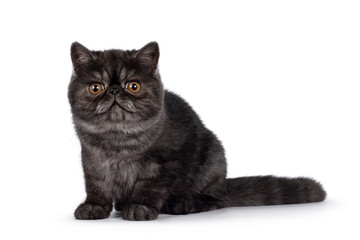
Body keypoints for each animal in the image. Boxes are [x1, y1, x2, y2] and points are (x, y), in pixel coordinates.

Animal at [67, 41, 326, 221]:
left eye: (133, 86)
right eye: (95, 87)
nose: (113, 91)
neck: (117, 139)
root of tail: (223, 184)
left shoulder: (166, 162)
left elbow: (150, 186)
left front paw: (140, 206)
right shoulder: (91, 159)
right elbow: (96, 185)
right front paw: (94, 206)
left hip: (213, 154)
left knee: (214, 199)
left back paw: (183, 203)